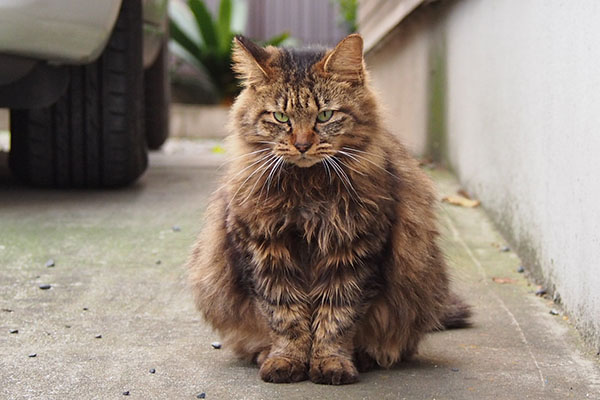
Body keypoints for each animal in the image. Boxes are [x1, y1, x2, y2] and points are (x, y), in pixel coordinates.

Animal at [190, 33, 472, 384]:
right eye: (280, 118)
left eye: (325, 116)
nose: (301, 144)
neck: (307, 190)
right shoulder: (265, 250)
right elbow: (285, 317)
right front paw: (286, 361)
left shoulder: (353, 250)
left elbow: (337, 317)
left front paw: (331, 363)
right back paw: (264, 354)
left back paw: (364, 357)